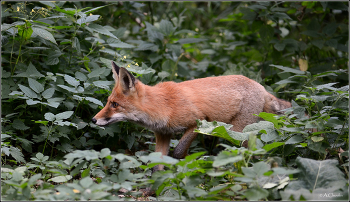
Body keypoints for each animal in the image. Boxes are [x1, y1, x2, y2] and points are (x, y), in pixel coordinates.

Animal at [91, 62, 292, 165]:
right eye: (109, 102)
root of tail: (262, 87)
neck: (163, 105)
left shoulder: (198, 122)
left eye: (115, 104)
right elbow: (157, 164)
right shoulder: (163, 134)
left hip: (238, 133)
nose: (93, 120)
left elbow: (179, 152)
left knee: (248, 152)